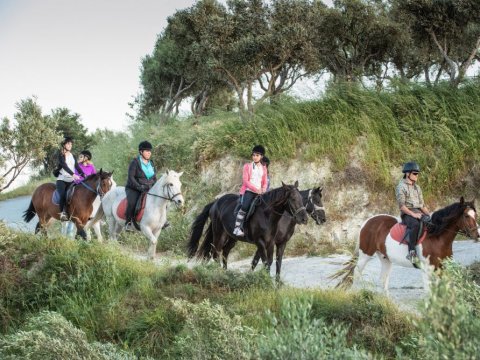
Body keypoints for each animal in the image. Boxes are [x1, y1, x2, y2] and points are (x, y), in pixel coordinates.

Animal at [334, 197, 480, 292]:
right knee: (357, 273)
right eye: (466, 216)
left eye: (475, 214)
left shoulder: (441, 268)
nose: (477, 235)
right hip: (365, 254)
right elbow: (429, 292)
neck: (437, 236)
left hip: (385, 258)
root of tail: (367, 221)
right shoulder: (426, 269)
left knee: (383, 280)